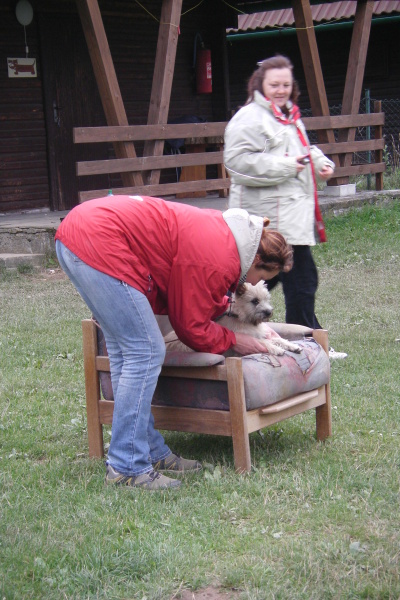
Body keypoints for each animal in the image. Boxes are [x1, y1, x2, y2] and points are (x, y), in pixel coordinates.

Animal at [162, 282, 300, 356]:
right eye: (255, 301)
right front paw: (276, 349)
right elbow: (264, 342)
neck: (242, 318)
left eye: (267, 299)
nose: (269, 312)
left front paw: (292, 346)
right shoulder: (250, 339)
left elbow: (277, 339)